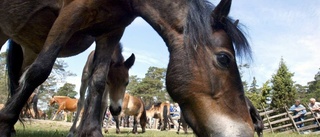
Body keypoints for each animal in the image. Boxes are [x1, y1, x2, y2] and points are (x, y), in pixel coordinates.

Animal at [0, 0, 255, 136]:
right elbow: (40, 71)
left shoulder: (111, 31)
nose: (247, 130)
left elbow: (98, 83)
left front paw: (93, 131)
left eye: (128, 82)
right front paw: (4, 122)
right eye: (224, 58)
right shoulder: (71, 13)